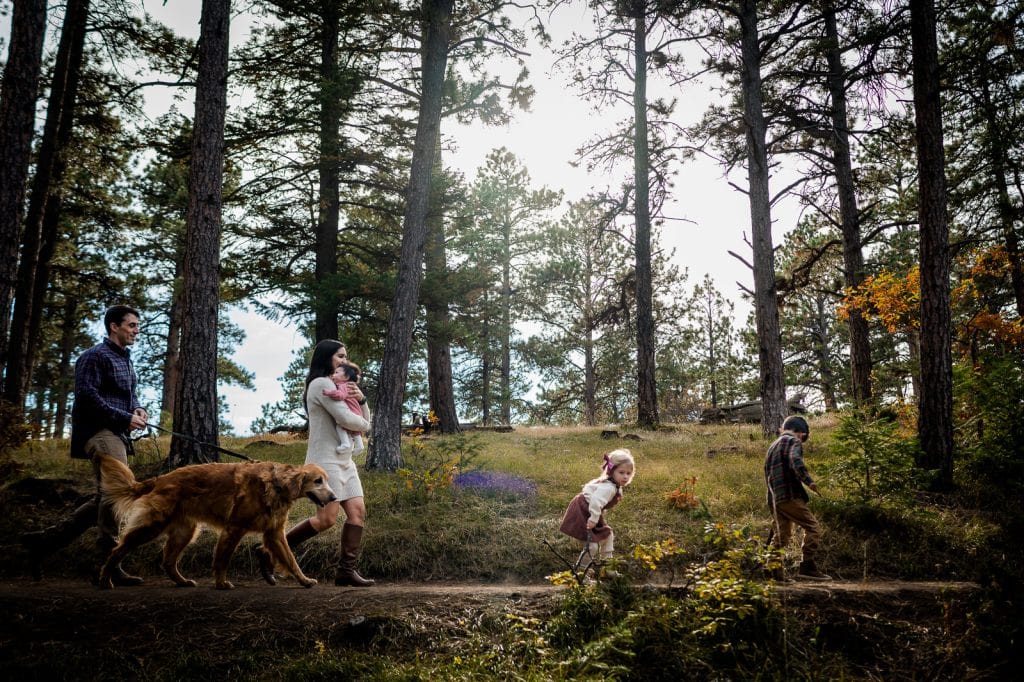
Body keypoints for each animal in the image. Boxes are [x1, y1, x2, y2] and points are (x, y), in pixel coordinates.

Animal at [98, 450, 333, 589]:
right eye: (318, 481)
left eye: (326, 481)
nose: (333, 497)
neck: (276, 485)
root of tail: (160, 479)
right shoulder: (234, 528)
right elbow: (222, 558)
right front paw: (221, 583)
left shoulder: (274, 533)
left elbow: (292, 560)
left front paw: (304, 580)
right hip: (152, 526)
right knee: (117, 550)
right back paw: (105, 578)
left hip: (185, 532)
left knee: (168, 561)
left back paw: (182, 581)